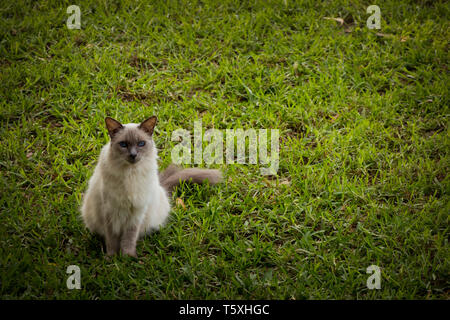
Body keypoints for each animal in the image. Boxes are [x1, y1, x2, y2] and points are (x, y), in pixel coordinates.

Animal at [81, 115, 222, 258]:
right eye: (123, 144)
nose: (133, 155)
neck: (131, 174)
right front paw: (112, 257)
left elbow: (129, 238)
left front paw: (127, 257)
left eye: (141, 144)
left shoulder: (136, 212)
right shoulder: (110, 211)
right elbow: (111, 239)